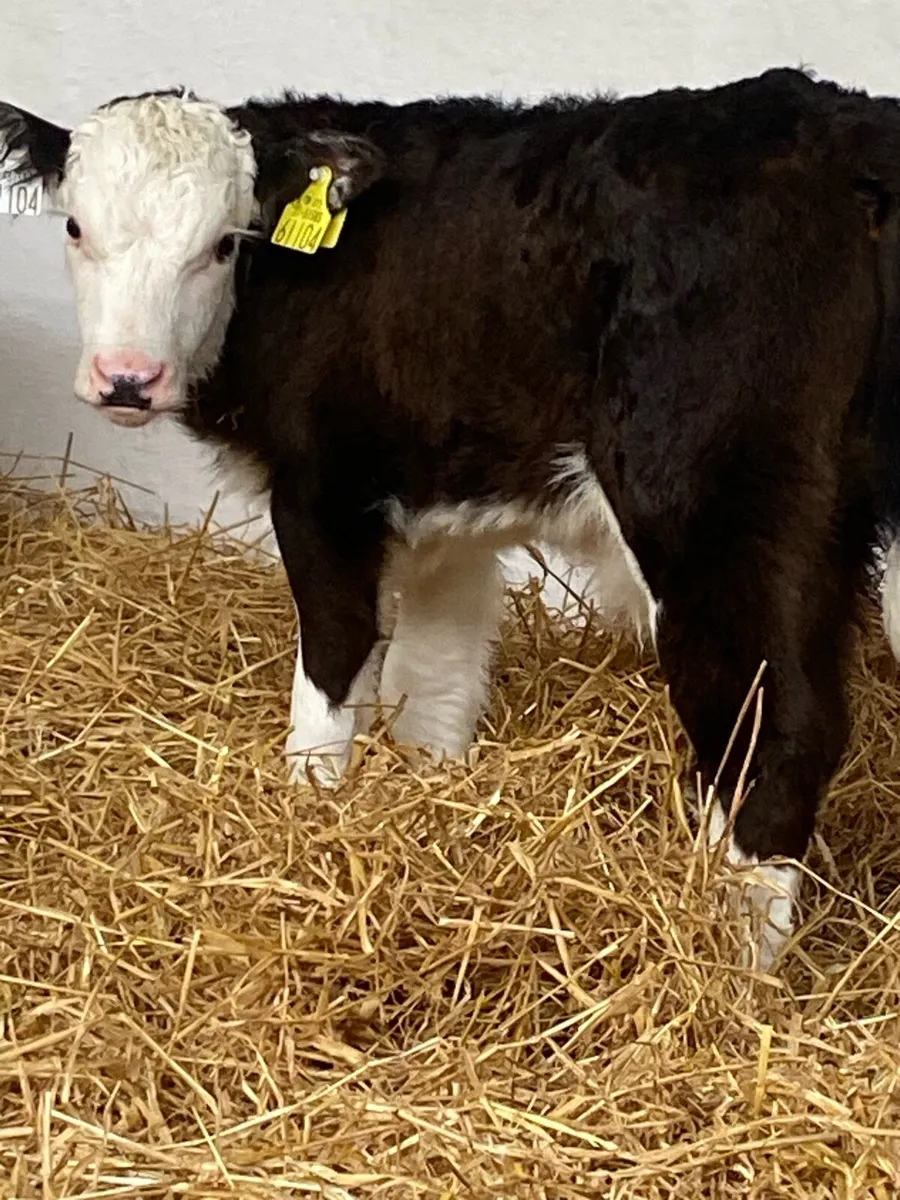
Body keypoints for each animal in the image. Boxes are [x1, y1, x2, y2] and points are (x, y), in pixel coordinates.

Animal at [3, 66, 900, 969]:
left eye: (225, 243)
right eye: (75, 227)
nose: (127, 378)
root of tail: (843, 129)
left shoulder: (323, 494)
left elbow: (331, 677)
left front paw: (308, 814)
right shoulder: (445, 511)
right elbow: (432, 687)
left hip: (713, 512)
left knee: (772, 732)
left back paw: (726, 957)